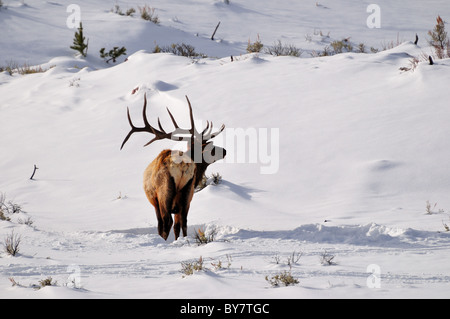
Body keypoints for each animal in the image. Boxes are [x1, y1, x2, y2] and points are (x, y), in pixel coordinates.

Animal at [120, 94, 227, 241]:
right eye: (211, 148)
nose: (225, 151)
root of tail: (182, 165)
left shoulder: (155, 201)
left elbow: (161, 225)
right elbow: (178, 225)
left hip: (165, 191)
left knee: (167, 222)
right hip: (186, 192)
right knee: (183, 221)